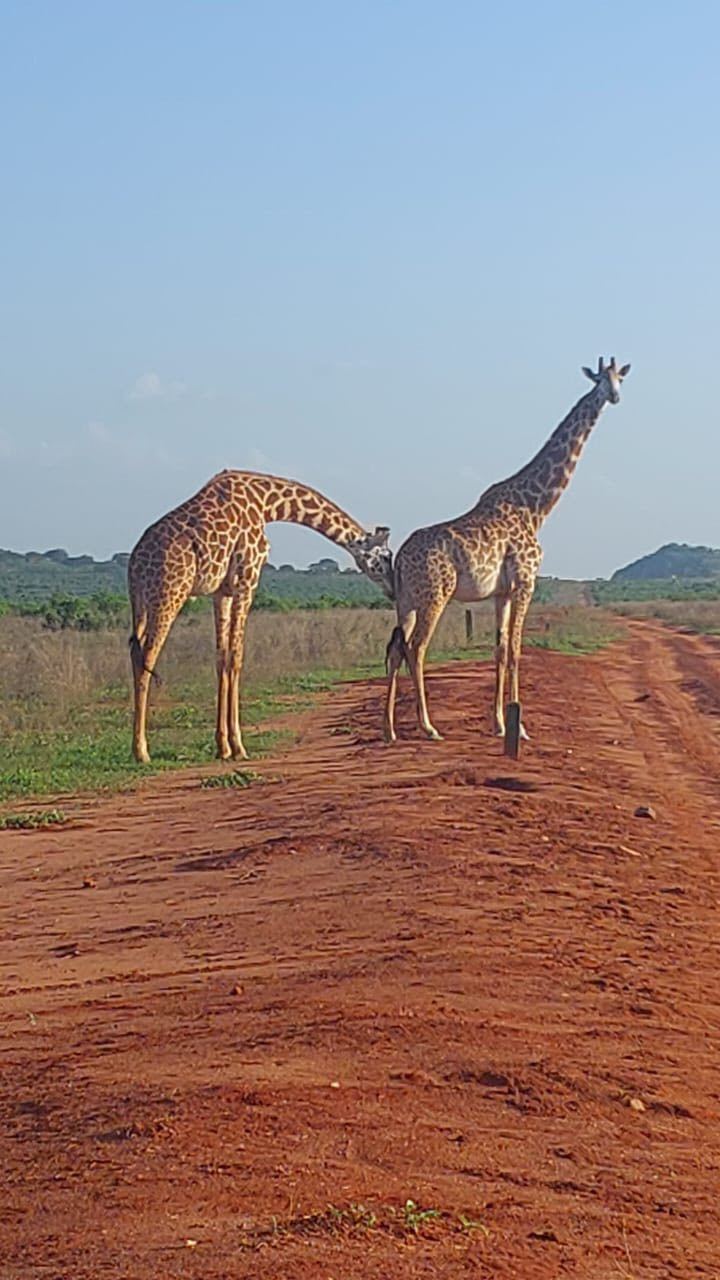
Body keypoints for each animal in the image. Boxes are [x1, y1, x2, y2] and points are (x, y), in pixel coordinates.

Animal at [128, 470, 393, 764]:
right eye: (386, 557)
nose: (394, 589)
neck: (268, 503)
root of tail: (134, 564)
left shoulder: (222, 591)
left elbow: (222, 659)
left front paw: (223, 746)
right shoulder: (248, 578)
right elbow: (237, 658)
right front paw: (238, 746)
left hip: (140, 603)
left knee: (135, 654)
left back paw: (137, 747)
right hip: (169, 594)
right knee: (148, 656)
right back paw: (141, 751)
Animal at [384, 357, 631, 744]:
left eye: (620, 378)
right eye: (600, 379)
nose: (615, 396)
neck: (536, 507)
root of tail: (399, 559)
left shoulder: (501, 591)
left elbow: (500, 649)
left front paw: (499, 723)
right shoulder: (526, 582)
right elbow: (516, 649)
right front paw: (521, 727)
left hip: (406, 600)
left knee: (396, 647)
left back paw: (389, 728)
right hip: (435, 595)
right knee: (417, 648)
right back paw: (428, 727)